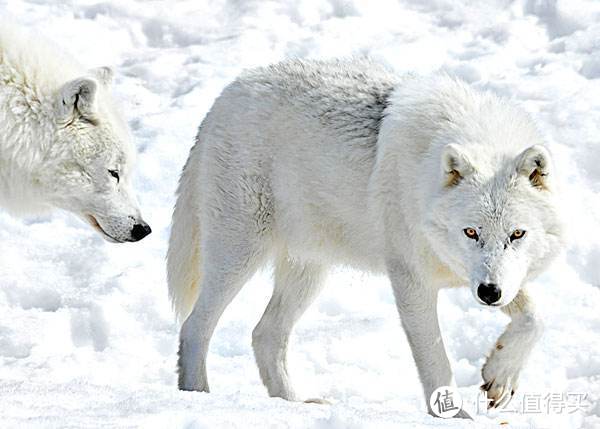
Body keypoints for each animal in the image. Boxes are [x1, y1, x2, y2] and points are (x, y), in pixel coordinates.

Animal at [166, 58, 564, 416]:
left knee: (265, 335)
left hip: (309, 272)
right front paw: (457, 418)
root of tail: (227, 94)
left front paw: (500, 376)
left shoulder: (488, 277)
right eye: (471, 232)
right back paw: (198, 397)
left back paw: (294, 404)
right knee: (195, 327)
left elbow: (535, 318)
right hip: (238, 256)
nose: (489, 294)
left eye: (517, 234)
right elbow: (436, 362)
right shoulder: (411, 281)